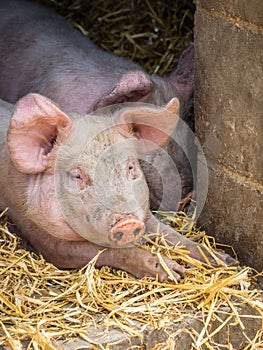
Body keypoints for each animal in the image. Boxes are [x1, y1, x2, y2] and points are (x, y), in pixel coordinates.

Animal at [0, 93, 236, 282]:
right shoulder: (46, 240)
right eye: (77, 175)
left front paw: (226, 261)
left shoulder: (145, 214)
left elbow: (174, 236)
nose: (127, 223)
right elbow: (113, 251)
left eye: (130, 166)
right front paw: (175, 273)